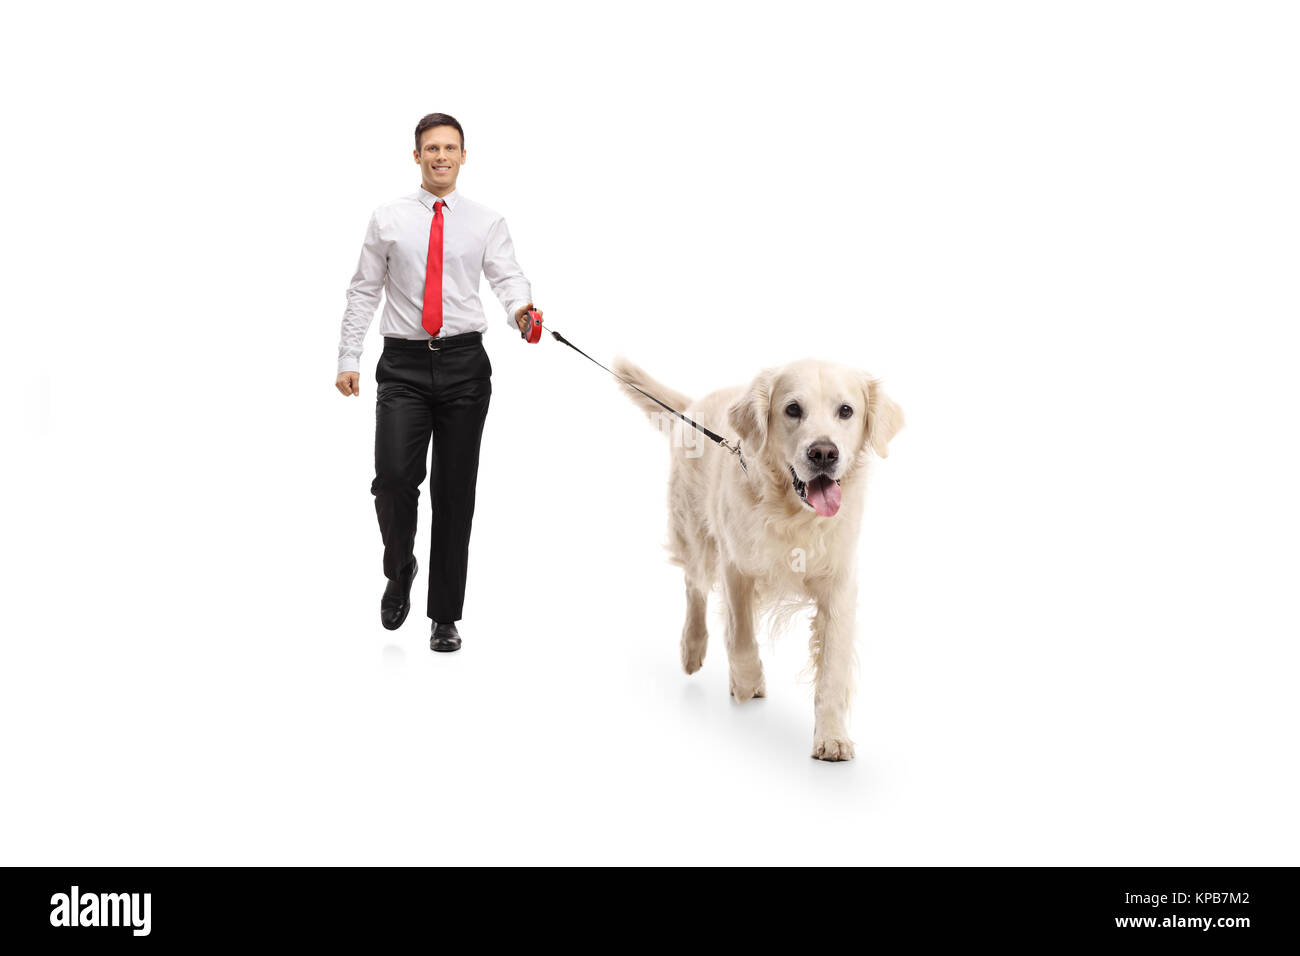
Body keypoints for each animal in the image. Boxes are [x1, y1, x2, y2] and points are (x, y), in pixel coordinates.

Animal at [611, 356, 904, 764]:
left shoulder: (839, 584)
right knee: (693, 586)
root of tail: (693, 405)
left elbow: (833, 669)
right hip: (695, 533)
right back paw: (692, 647)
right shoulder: (736, 566)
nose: (824, 453)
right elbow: (741, 637)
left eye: (846, 411)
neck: (793, 514)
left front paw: (832, 738)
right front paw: (748, 684)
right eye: (792, 409)